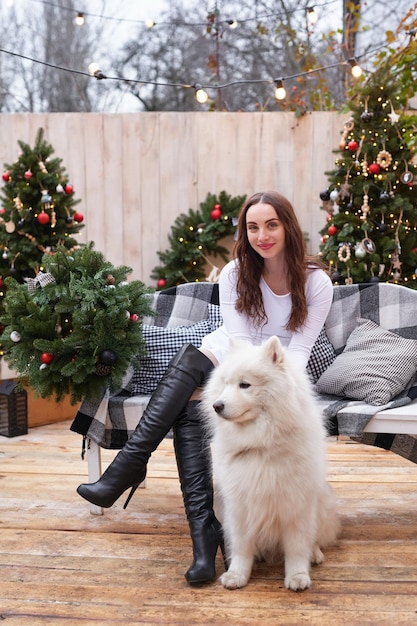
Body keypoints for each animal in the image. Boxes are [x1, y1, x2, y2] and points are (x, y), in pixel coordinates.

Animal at [201, 334, 338, 588]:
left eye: (245, 385)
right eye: (225, 384)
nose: (217, 405)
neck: (261, 444)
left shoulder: (296, 505)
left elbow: (297, 547)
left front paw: (297, 576)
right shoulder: (240, 505)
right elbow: (242, 547)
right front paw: (237, 574)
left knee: (315, 538)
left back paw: (315, 554)